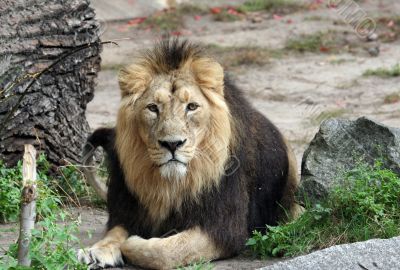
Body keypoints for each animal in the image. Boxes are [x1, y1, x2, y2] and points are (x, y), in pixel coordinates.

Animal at [78, 39, 302, 268]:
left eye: (192, 107)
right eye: (152, 108)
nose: (172, 144)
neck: (171, 186)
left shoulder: (224, 229)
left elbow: (165, 252)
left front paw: (133, 242)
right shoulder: (127, 210)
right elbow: (114, 233)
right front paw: (96, 251)